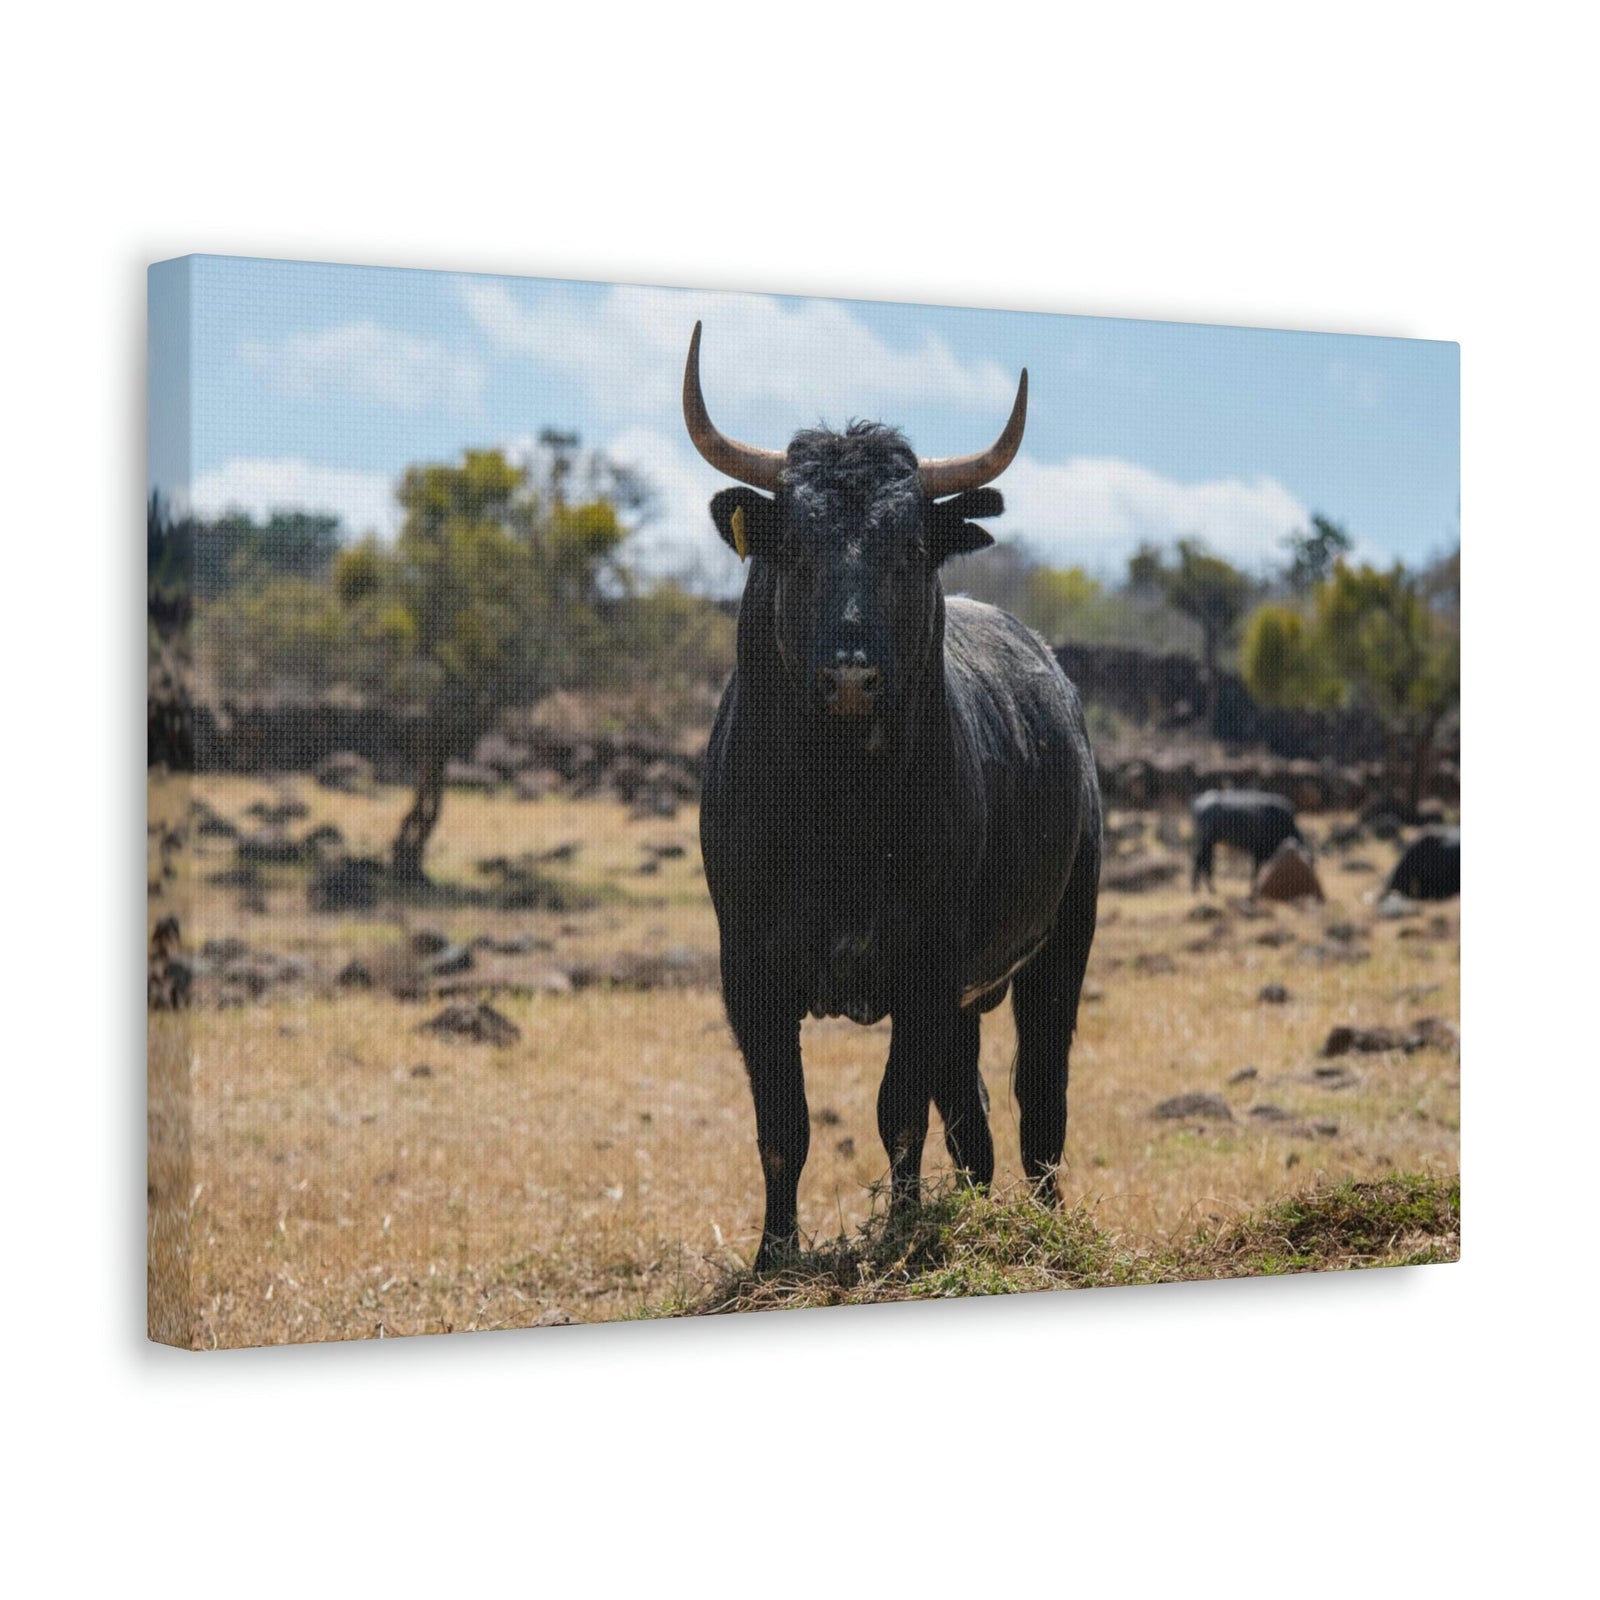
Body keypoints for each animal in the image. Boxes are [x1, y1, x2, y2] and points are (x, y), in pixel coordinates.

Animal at [685, 323, 1102, 1269]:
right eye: (795, 548)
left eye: (908, 550)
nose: (851, 676)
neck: (840, 809)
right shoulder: (750, 970)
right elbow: (785, 1126)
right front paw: (774, 1256)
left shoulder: (926, 961)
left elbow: (898, 1114)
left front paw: (902, 1233)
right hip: (971, 995)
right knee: (972, 1119)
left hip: (1058, 949)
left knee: (1040, 1104)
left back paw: (1043, 1226)